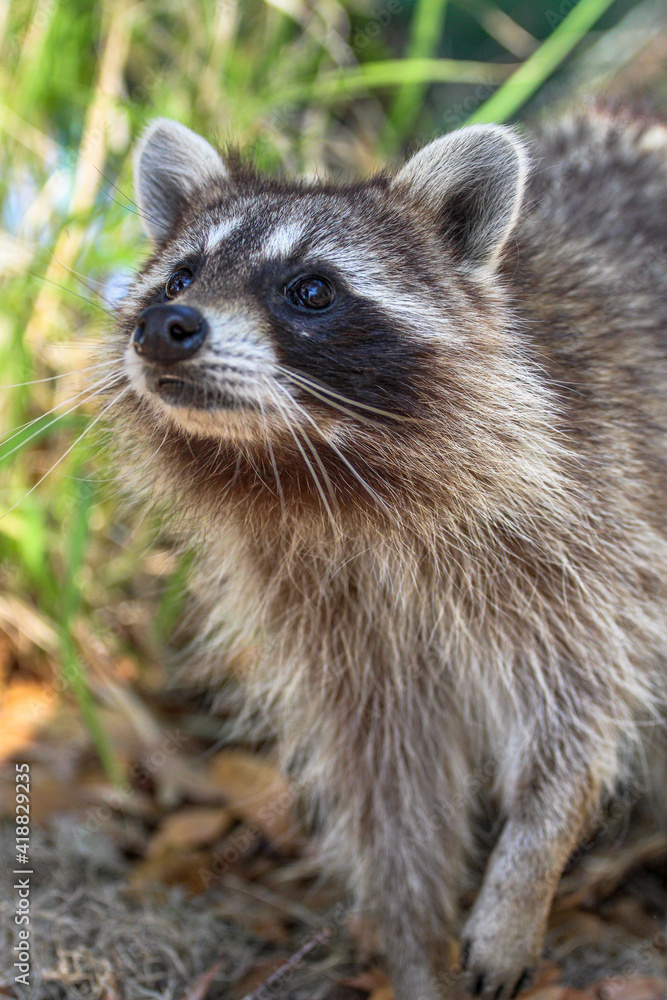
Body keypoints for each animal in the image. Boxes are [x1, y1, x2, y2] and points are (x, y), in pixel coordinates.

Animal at [109, 106, 667, 1000]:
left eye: (310, 289)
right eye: (180, 277)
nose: (163, 327)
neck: (315, 469)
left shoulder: (596, 518)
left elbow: (579, 708)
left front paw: (528, 865)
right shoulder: (334, 615)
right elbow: (388, 783)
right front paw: (414, 949)